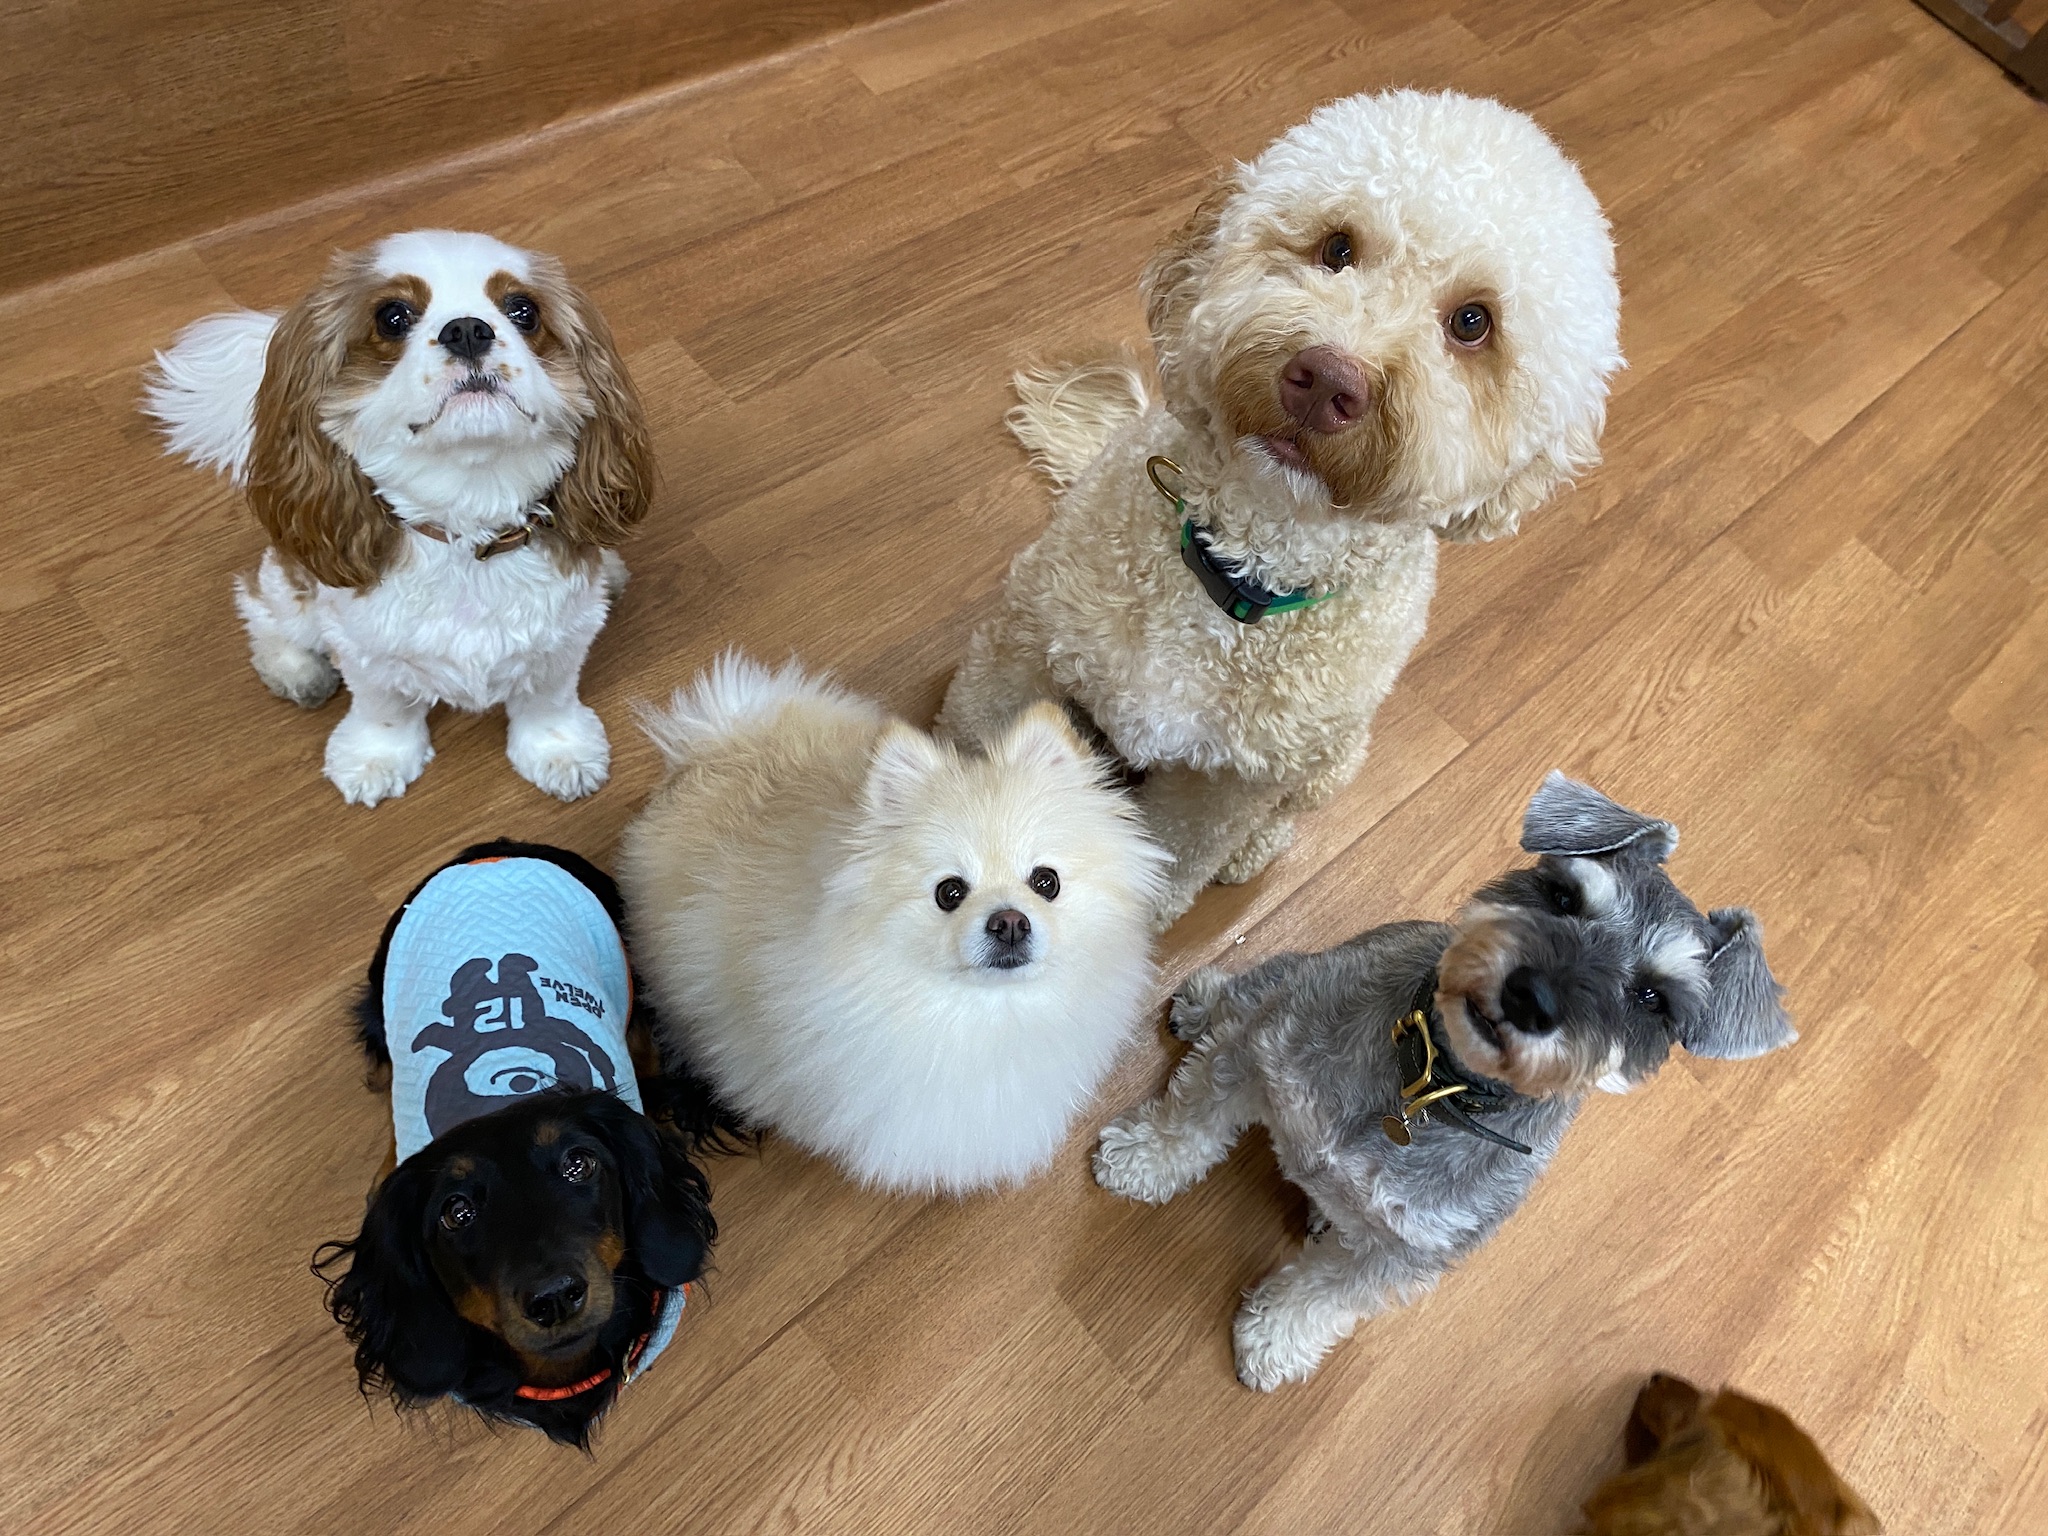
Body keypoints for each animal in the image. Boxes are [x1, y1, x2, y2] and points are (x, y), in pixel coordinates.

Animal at [145, 230, 653, 806]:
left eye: (524, 311)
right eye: (392, 316)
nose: (467, 329)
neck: (467, 527)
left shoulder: (563, 638)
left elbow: (548, 698)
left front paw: (558, 750)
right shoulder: (363, 648)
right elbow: (382, 706)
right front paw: (375, 759)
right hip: (291, 584)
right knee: (261, 604)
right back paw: (294, 667)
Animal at [937, 91, 1623, 927]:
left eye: (1472, 322)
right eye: (1337, 247)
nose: (1327, 379)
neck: (1237, 569)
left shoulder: (1228, 783)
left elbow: (1179, 852)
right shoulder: (1026, 648)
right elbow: (975, 750)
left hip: (1330, 760)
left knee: (1284, 815)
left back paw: (1253, 853)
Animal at [1092, 773, 1796, 1390]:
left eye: (1653, 998)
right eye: (1564, 895)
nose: (1531, 997)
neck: (1430, 1082)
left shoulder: (1402, 1256)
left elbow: (1322, 1296)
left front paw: (1272, 1342)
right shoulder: (1256, 1052)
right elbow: (1191, 1115)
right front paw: (1141, 1160)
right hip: (1282, 984)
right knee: (1245, 991)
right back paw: (1204, 1002)